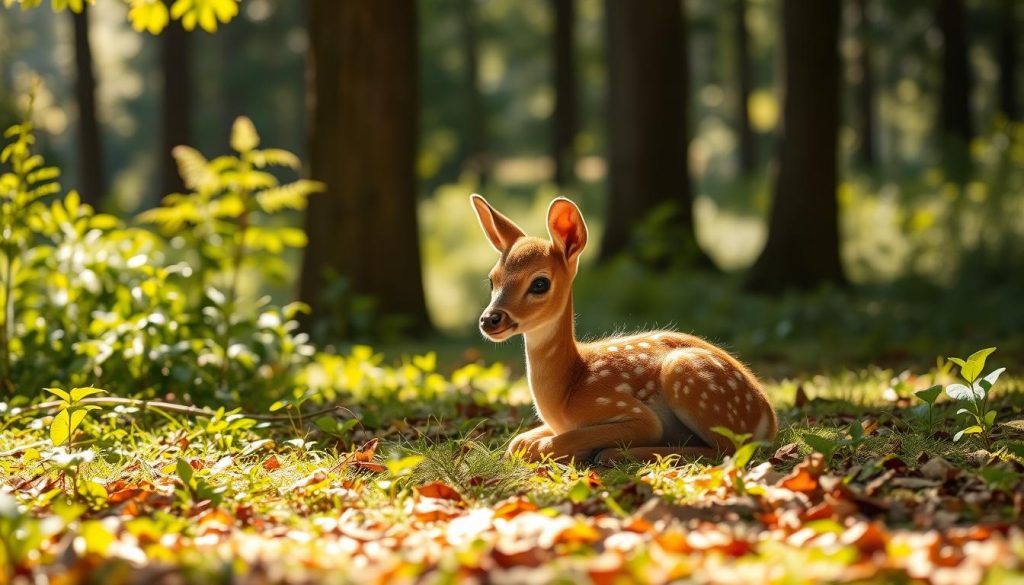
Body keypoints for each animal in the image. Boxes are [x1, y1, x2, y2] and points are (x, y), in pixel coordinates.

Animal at [470, 194, 777, 464]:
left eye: (540, 283)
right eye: (492, 279)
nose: (489, 319)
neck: (567, 393)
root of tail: (769, 420)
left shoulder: (625, 408)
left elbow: (546, 444)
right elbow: (517, 442)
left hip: (689, 377)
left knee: (728, 450)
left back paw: (613, 454)